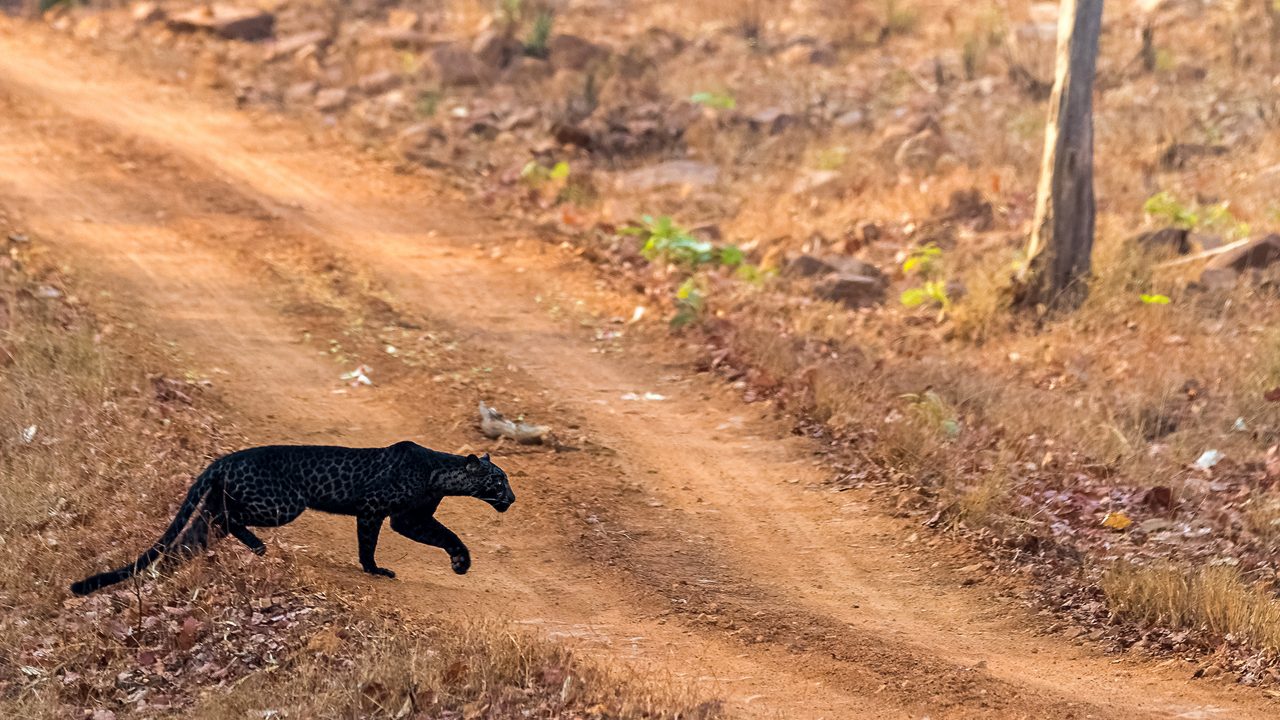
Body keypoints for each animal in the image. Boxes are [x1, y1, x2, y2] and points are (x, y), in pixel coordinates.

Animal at [68, 440, 514, 597]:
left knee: (197, 532)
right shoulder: (375, 510)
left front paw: (460, 561)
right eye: (498, 480)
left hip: (224, 506)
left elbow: (445, 533)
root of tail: (223, 459)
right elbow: (368, 544)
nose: (511, 497)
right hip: (282, 504)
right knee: (227, 520)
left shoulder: (410, 520)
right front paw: (374, 570)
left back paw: (171, 570)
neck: (440, 473)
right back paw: (258, 546)